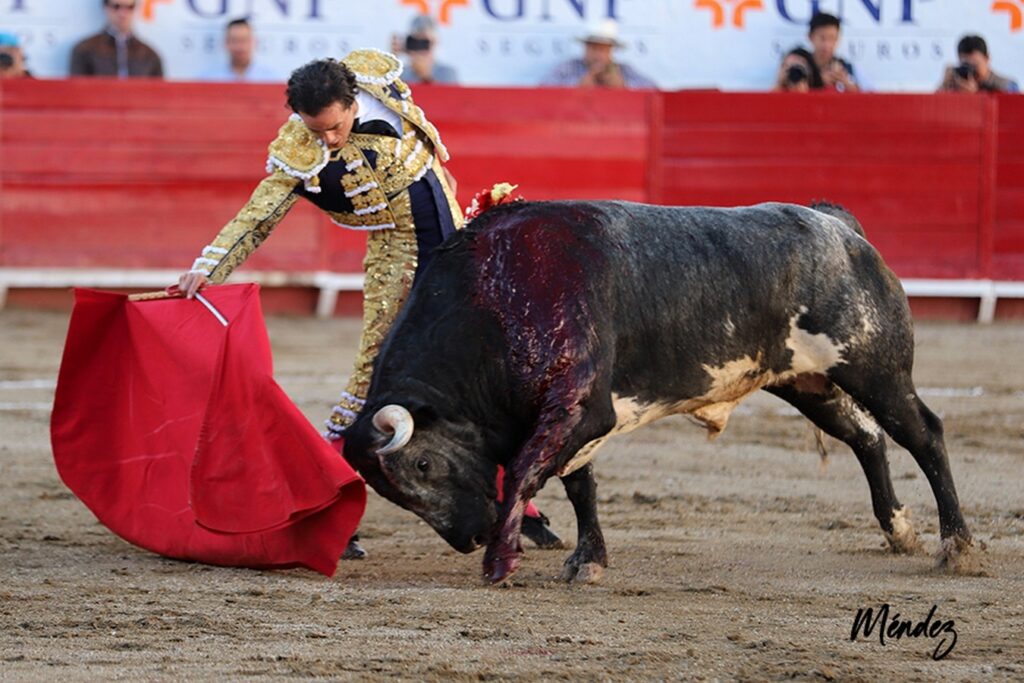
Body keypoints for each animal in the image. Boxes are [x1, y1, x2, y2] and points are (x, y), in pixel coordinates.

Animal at [342, 200, 974, 585]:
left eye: (423, 463)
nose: (470, 537)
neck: (497, 295)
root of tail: (837, 227)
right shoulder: (572, 418)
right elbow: (580, 485)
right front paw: (587, 562)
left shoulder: (576, 409)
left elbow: (526, 471)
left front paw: (502, 562)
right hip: (807, 381)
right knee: (866, 437)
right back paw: (900, 531)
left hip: (875, 367)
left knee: (924, 434)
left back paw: (957, 545)